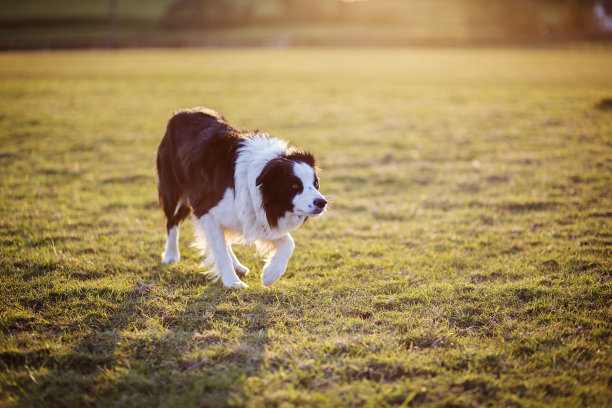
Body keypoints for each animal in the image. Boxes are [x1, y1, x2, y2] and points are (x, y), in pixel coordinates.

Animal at [155, 107, 328, 288]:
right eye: (294, 186)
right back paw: (171, 255)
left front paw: (270, 274)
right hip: (172, 190)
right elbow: (220, 251)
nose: (322, 202)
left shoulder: (255, 216)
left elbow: (288, 243)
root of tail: (181, 112)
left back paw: (237, 265)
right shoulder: (206, 211)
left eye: (316, 183)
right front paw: (232, 283)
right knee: (172, 222)